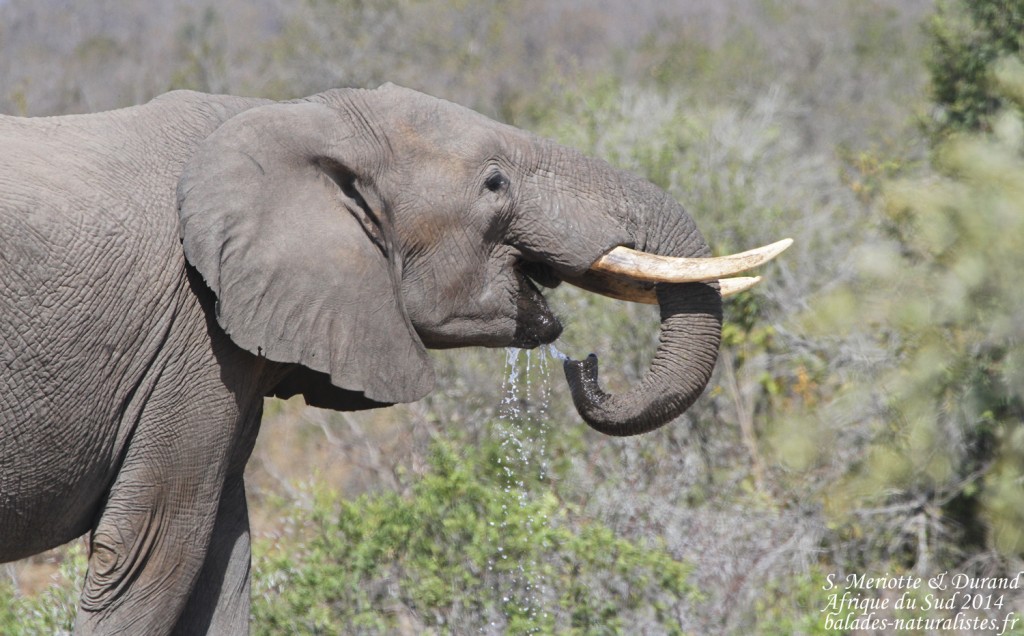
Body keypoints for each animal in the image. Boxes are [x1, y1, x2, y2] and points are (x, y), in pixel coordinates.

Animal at [0, 84, 787, 634]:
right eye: (496, 184)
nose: (584, 366)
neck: (299, 116)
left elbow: (223, 560)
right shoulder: (192, 335)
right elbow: (153, 554)